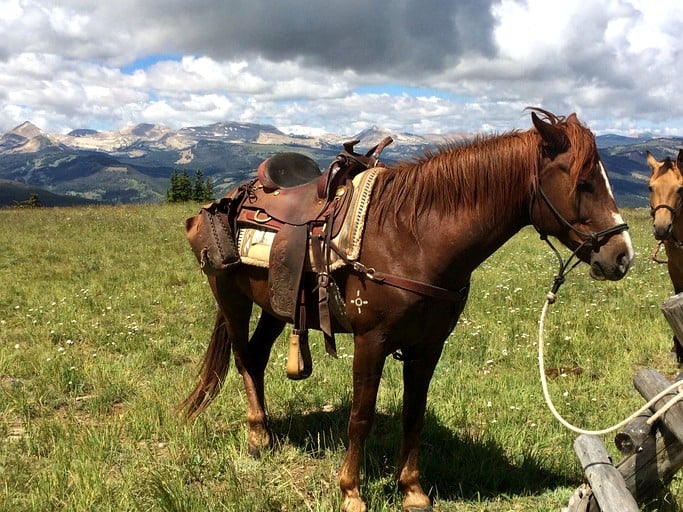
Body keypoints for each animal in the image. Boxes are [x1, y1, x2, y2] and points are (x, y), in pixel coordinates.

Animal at [179, 109, 632, 512]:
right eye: (584, 182)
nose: (623, 256)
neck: (412, 237)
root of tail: (225, 200)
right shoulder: (371, 341)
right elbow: (360, 417)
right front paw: (351, 493)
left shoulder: (428, 346)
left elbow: (414, 415)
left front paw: (412, 491)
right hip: (232, 300)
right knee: (243, 358)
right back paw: (257, 438)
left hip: (276, 305)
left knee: (255, 357)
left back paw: (267, 433)